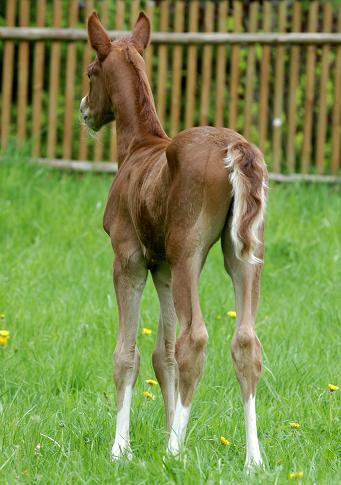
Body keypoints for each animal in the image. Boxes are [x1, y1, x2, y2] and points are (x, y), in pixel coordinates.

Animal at [79, 12, 266, 466]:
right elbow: (161, 355)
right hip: (241, 255)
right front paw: (161, 431)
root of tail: (236, 147)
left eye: (91, 71)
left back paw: (175, 451)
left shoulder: (128, 260)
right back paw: (253, 459)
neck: (137, 149)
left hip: (189, 253)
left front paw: (121, 449)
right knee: (245, 341)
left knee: (194, 338)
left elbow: (127, 353)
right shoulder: (160, 266)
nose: (84, 110)